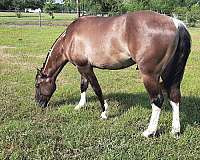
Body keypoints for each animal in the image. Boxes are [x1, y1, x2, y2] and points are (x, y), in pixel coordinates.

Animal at [35, 10, 191, 137]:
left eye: (37, 85)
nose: (39, 104)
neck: (70, 37)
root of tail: (175, 23)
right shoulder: (83, 66)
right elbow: (83, 86)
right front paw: (80, 105)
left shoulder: (85, 67)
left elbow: (96, 88)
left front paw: (104, 112)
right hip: (169, 73)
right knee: (174, 96)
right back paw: (175, 130)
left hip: (150, 75)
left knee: (157, 100)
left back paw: (149, 131)